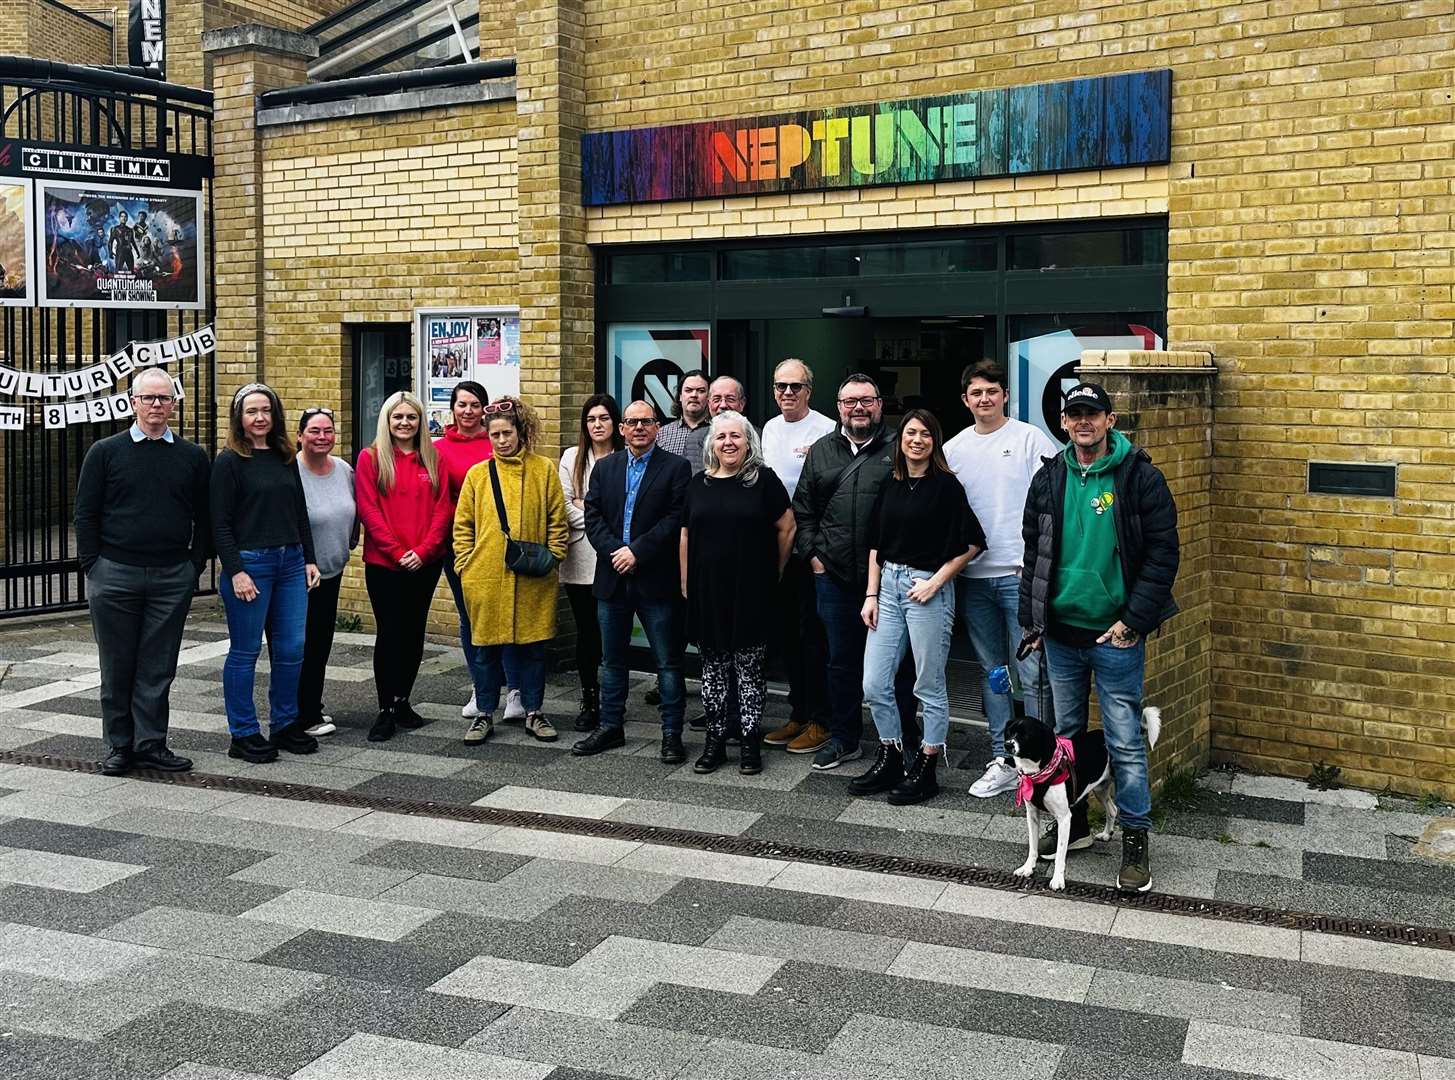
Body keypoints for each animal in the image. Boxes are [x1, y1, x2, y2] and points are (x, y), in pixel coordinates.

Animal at [1006, 710, 1164, 890]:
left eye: (1025, 735)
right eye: (1009, 732)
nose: (1007, 744)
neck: (1037, 772)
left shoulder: (1064, 818)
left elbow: (1060, 854)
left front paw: (1058, 879)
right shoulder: (1032, 814)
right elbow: (1033, 846)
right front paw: (1027, 868)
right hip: (1100, 788)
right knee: (1112, 809)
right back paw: (1106, 834)